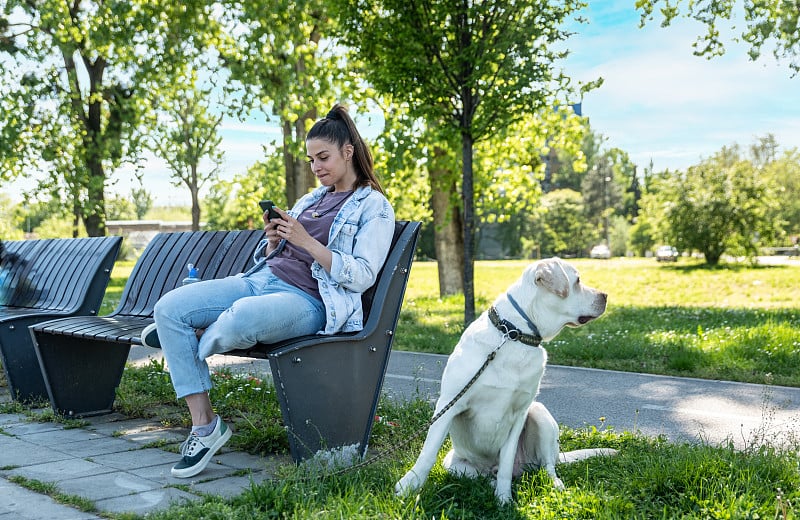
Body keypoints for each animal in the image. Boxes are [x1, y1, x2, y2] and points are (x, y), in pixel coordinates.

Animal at [396, 258, 616, 502]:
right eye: (577, 281)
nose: (606, 295)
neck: (514, 334)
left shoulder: (519, 414)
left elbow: (507, 462)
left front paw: (504, 500)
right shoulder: (449, 404)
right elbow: (428, 452)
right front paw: (408, 486)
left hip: (539, 413)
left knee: (547, 466)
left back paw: (554, 485)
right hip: (454, 464)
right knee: (479, 475)